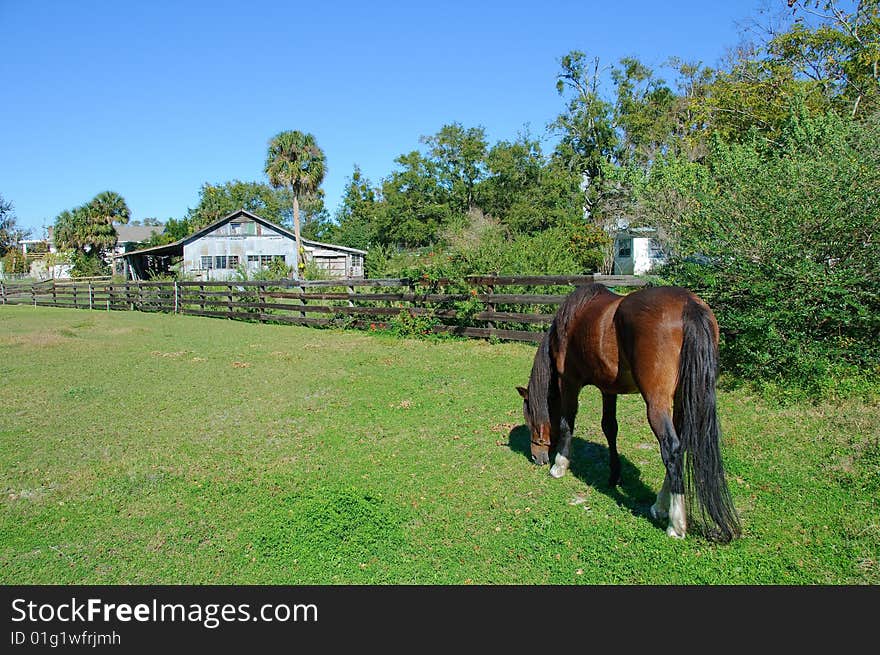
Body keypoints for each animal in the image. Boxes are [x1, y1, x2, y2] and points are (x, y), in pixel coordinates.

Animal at [516, 284, 744, 544]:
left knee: (671, 448)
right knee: (680, 447)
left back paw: (676, 524)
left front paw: (559, 465)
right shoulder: (607, 389)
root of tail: (689, 305)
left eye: (530, 420)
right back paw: (660, 506)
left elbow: (566, 424)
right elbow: (609, 427)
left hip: (657, 403)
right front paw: (614, 476)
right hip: (681, 400)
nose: (537, 457)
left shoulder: (569, 382)